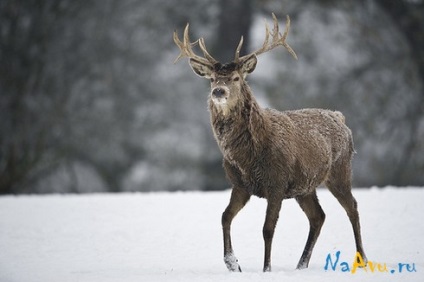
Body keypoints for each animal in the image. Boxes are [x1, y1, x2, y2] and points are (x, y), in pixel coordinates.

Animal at [174, 13, 366, 274]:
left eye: (236, 78)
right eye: (212, 79)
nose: (219, 91)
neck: (248, 156)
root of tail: (339, 117)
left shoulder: (276, 182)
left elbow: (267, 229)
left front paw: (266, 269)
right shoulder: (240, 184)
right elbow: (225, 216)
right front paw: (233, 264)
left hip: (340, 169)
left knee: (352, 207)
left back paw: (362, 259)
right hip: (305, 185)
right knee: (318, 216)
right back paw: (301, 265)